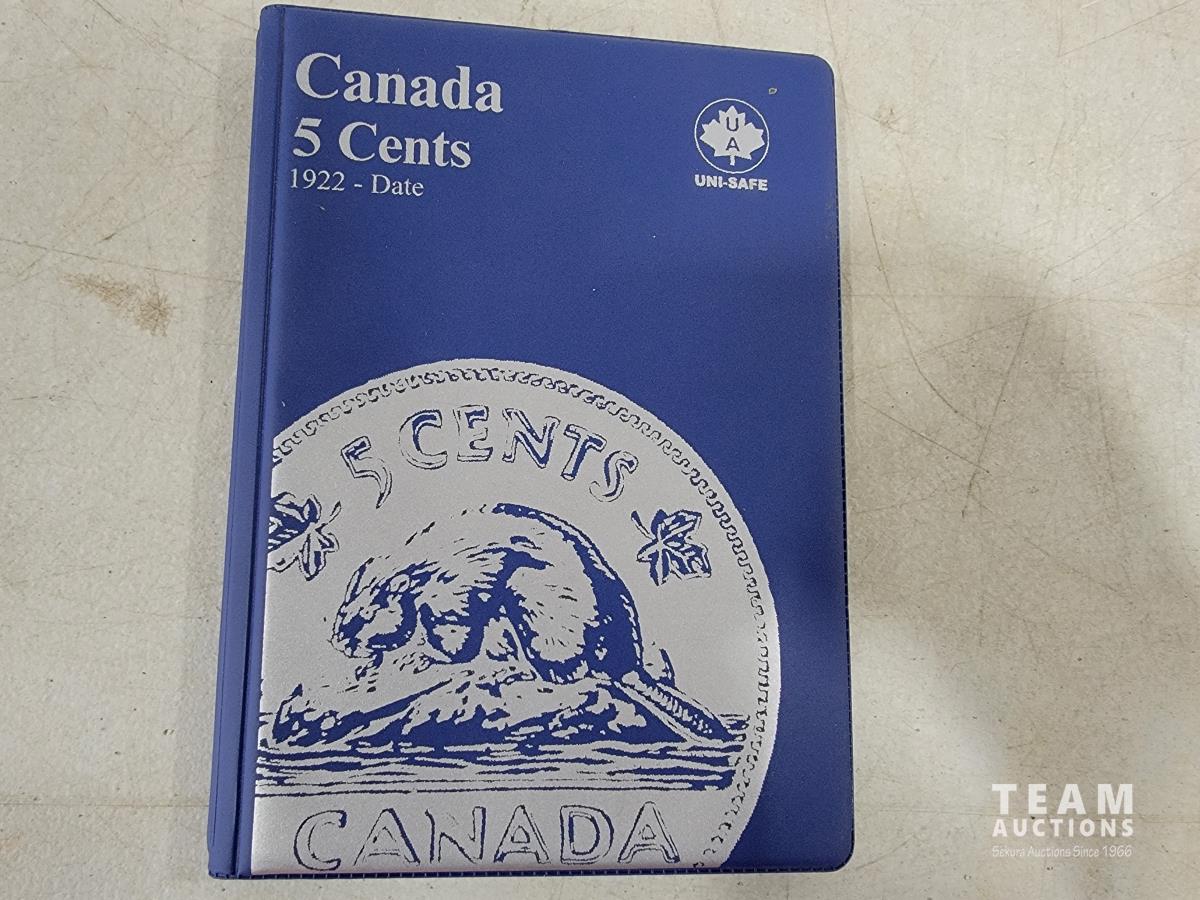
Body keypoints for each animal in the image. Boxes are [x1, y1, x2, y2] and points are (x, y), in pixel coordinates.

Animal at [331, 502, 728, 742]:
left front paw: (421, 655)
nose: (340, 642)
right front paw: (371, 664)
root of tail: (626, 666)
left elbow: (456, 641)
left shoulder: (455, 593)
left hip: (535, 610)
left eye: (364, 617)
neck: (420, 573)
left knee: (568, 672)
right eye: (341, 614)